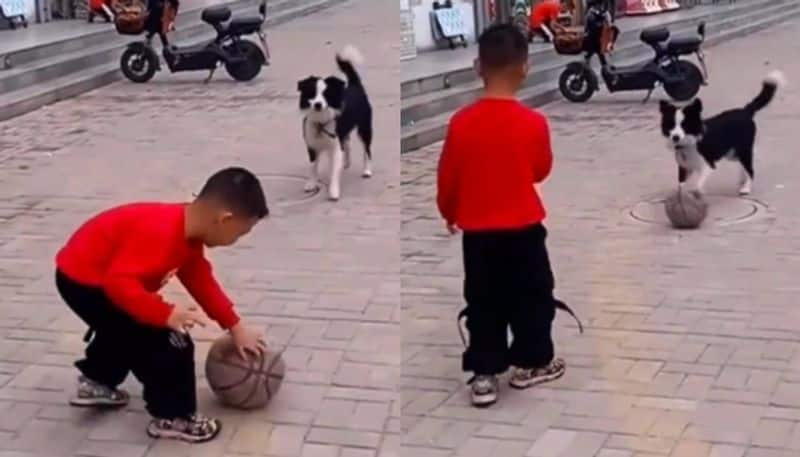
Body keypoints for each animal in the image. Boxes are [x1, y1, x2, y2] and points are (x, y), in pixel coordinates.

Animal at [296, 45, 374, 200]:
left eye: (326, 95)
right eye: (312, 94)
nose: (318, 104)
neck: (321, 122)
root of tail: (355, 84)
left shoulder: (335, 147)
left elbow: (333, 170)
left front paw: (333, 191)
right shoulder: (312, 145)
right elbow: (313, 167)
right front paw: (311, 183)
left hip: (364, 128)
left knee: (366, 149)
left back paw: (367, 170)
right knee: (348, 144)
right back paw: (346, 162)